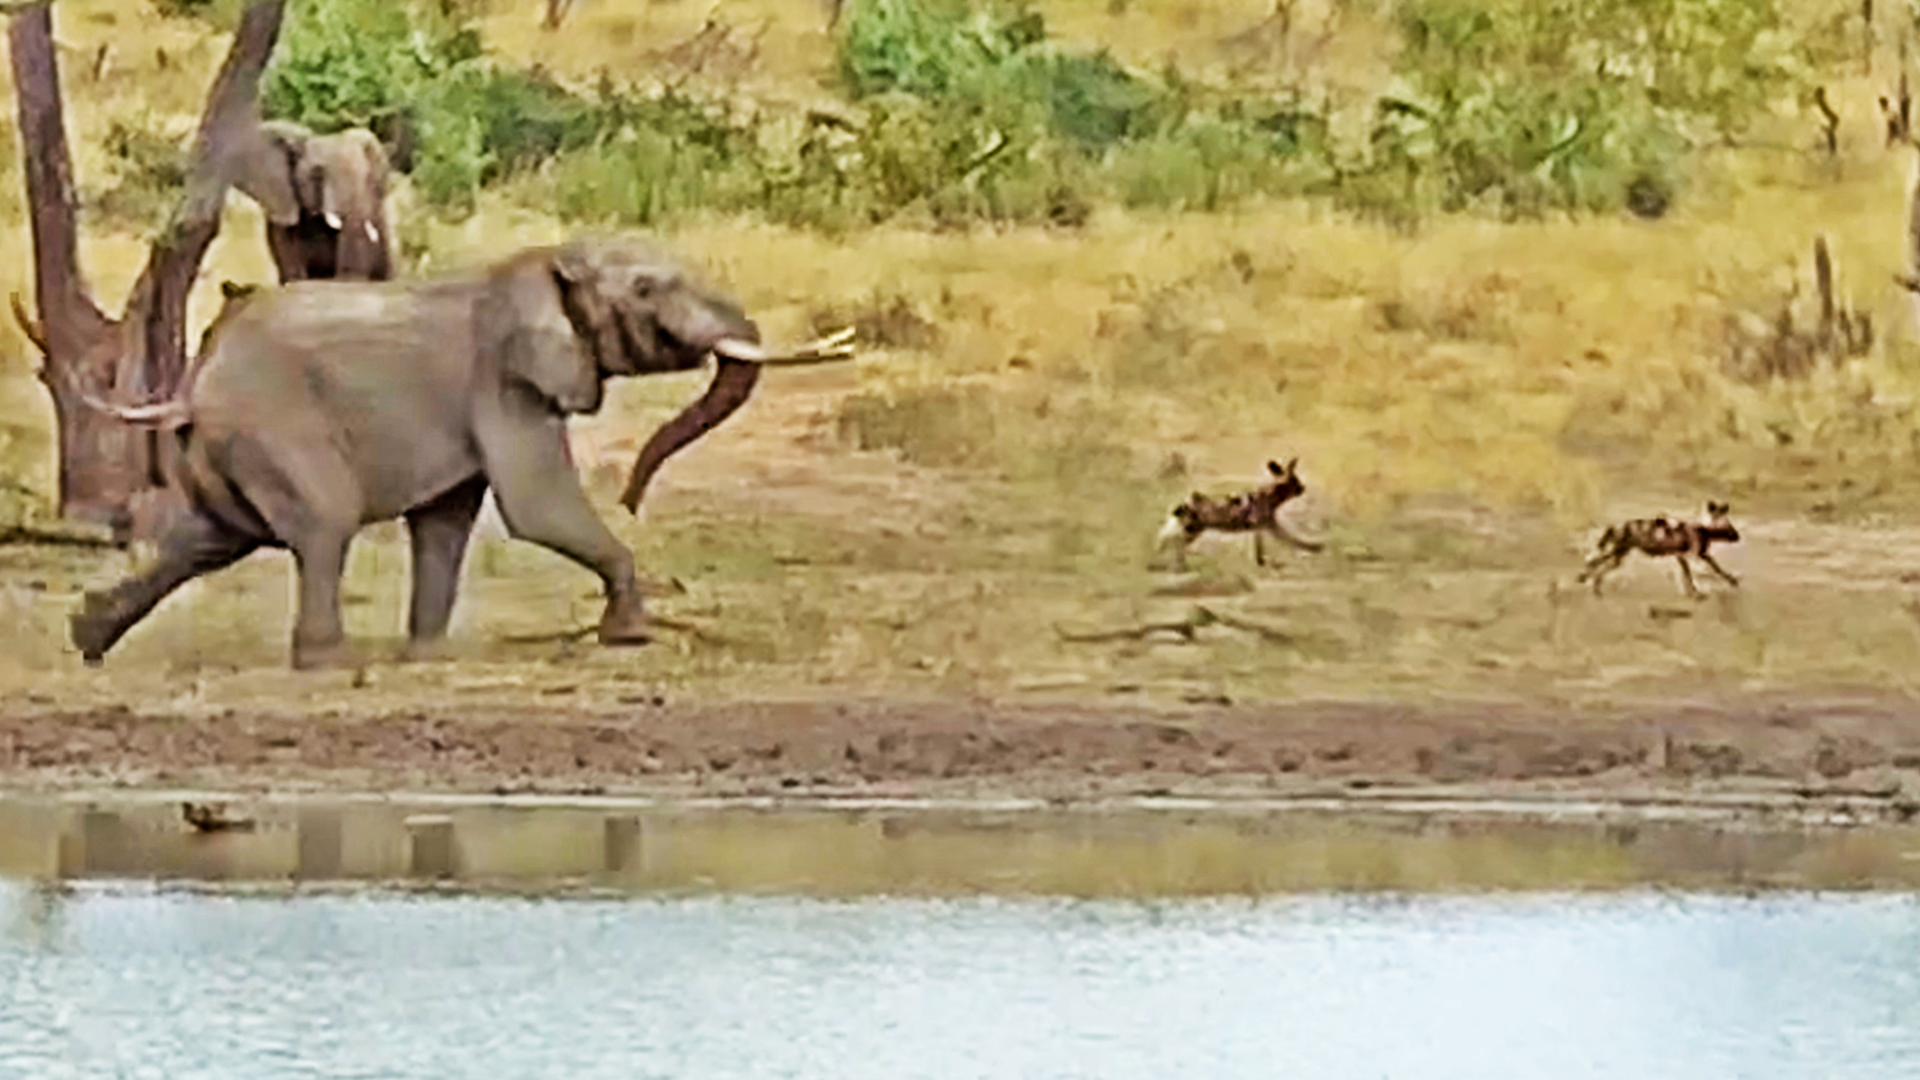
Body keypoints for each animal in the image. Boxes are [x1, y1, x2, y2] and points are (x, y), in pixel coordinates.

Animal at [69, 234, 815, 670]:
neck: (545, 260)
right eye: (646, 290)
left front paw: (426, 655)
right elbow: (535, 506)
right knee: (322, 525)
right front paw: (629, 637)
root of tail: (194, 387)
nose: (633, 498)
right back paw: (332, 664)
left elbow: (446, 521)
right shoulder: (507, 379)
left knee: (211, 540)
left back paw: (87, 638)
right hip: (277, 428)